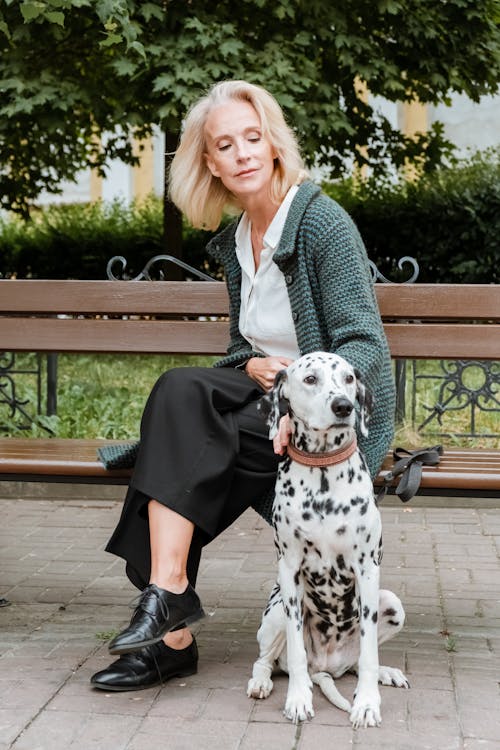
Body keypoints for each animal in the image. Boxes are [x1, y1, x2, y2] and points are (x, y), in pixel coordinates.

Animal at [248, 352, 408, 728]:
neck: (322, 474)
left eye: (348, 378)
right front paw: (297, 700)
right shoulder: (290, 572)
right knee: (266, 662)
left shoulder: (367, 570)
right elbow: (295, 654)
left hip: (392, 603)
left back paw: (385, 672)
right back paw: (263, 682)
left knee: (357, 663)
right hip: (277, 611)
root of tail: (326, 667)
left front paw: (368, 703)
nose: (343, 406)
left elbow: (368, 654)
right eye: (310, 379)